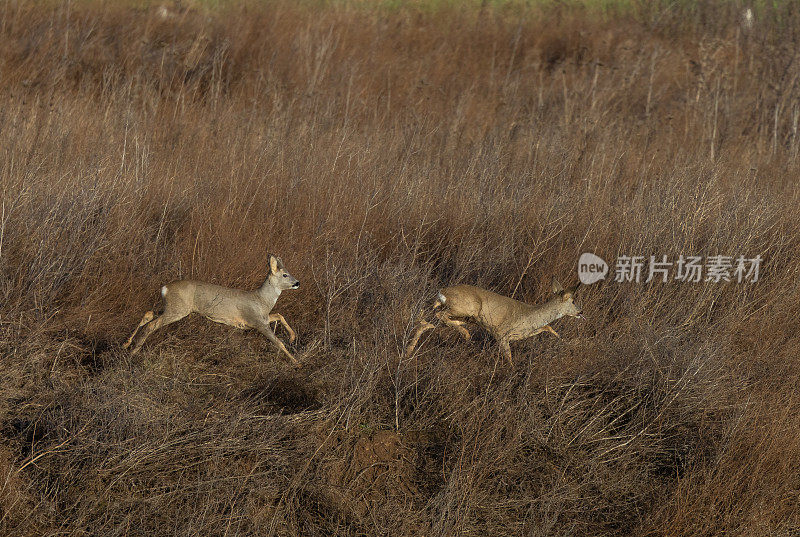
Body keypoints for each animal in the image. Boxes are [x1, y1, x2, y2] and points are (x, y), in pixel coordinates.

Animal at [123, 253, 302, 366]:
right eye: (285, 275)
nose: (297, 283)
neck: (262, 301)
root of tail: (164, 288)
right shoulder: (257, 321)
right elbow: (278, 342)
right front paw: (297, 363)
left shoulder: (262, 318)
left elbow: (279, 315)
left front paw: (293, 337)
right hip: (177, 309)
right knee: (151, 325)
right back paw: (133, 352)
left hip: (171, 307)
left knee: (148, 314)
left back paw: (126, 344)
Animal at [406, 276, 580, 364]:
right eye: (572, 301)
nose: (580, 311)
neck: (529, 316)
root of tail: (442, 292)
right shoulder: (501, 333)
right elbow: (509, 357)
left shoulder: (523, 333)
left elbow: (547, 328)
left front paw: (564, 340)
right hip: (466, 308)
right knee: (436, 316)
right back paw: (465, 333)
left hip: (458, 314)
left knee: (425, 321)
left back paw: (408, 352)